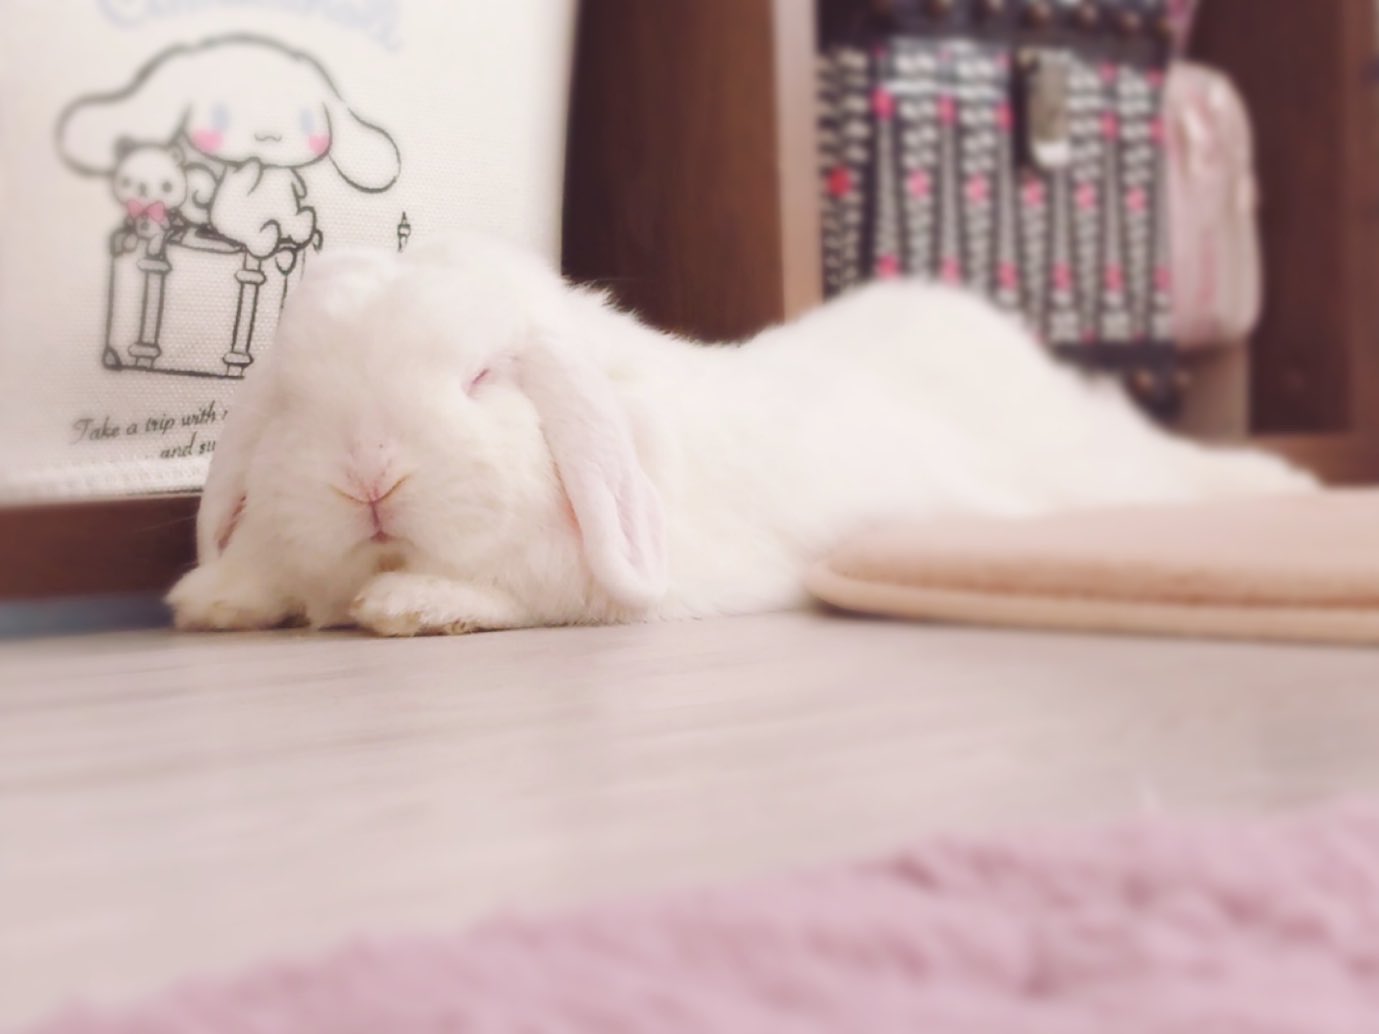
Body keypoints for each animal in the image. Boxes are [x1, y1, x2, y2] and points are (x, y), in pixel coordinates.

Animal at [166, 234, 1317, 636]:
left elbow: (532, 589)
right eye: (295, 401)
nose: (369, 474)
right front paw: (216, 598)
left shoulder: (612, 574)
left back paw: (1286, 490)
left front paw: (409, 603)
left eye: (481, 377)